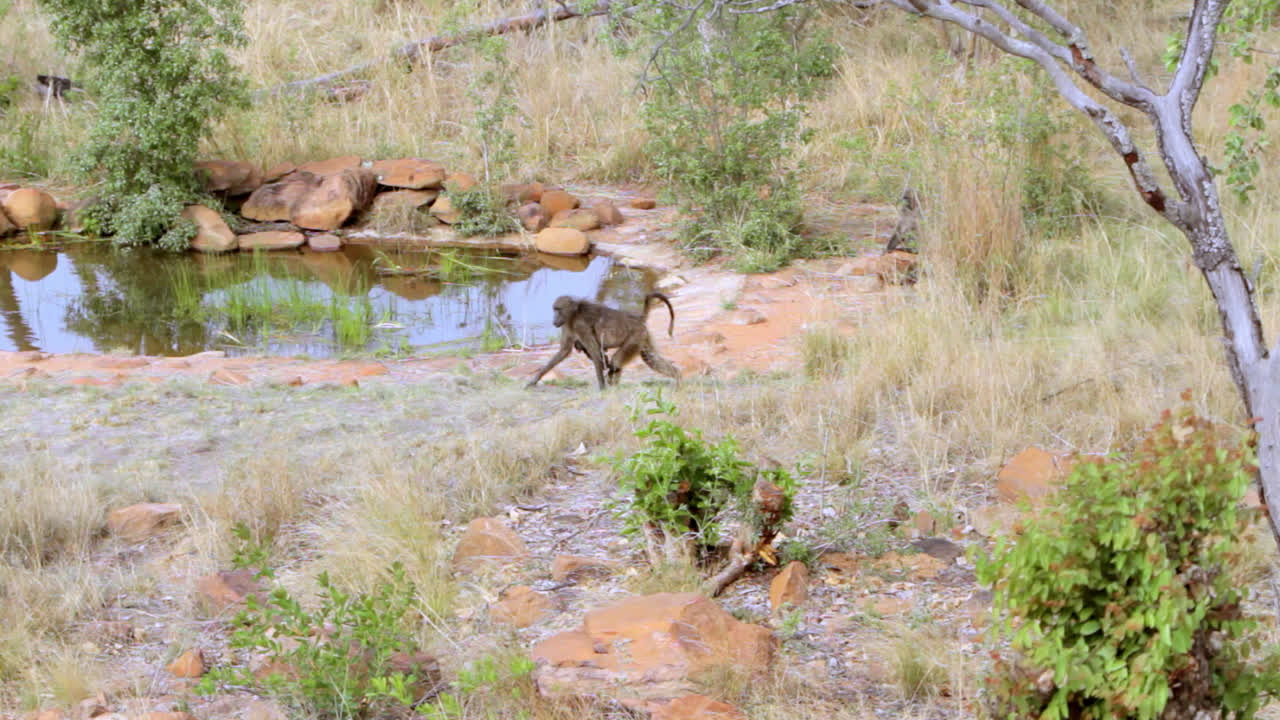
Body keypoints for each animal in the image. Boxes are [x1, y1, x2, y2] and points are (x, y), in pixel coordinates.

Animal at [526, 292, 681, 390]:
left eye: (558, 309)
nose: (554, 320)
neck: (574, 314)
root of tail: (636, 318)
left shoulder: (581, 326)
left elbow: (595, 353)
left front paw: (602, 388)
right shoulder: (567, 326)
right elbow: (563, 352)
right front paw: (534, 380)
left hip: (635, 337)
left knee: (616, 361)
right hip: (643, 337)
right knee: (651, 359)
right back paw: (677, 378)